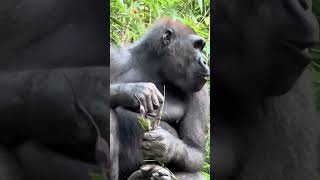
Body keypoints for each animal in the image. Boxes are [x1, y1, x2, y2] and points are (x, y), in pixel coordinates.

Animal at [110, 18, 210, 180]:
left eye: (201, 47)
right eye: (196, 46)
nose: (206, 61)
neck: (155, 68)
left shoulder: (201, 93)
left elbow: (195, 151)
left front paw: (166, 146)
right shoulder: (115, 57)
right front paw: (135, 91)